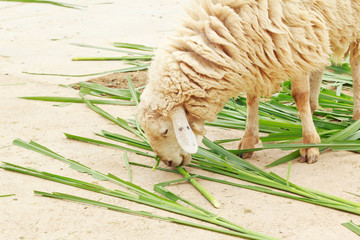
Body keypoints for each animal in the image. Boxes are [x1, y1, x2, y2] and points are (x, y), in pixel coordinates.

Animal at [138, 0, 360, 168]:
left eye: (165, 131)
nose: (168, 163)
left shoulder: (297, 37)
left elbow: (299, 95)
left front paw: (310, 145)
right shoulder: (258, 51)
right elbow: (251, 100)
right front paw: (248, 141)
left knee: (355, 66)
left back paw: (356, 118)